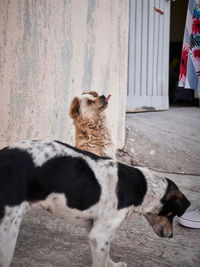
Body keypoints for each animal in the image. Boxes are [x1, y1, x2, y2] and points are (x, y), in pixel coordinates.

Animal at [0, 141, 190, 266]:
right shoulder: (99, 235)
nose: (171, 236)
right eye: (171, 214)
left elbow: (105, 257)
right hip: (8, 231)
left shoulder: (95, 232)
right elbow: (101, 260)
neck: (144, 188)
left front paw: (113, 264)